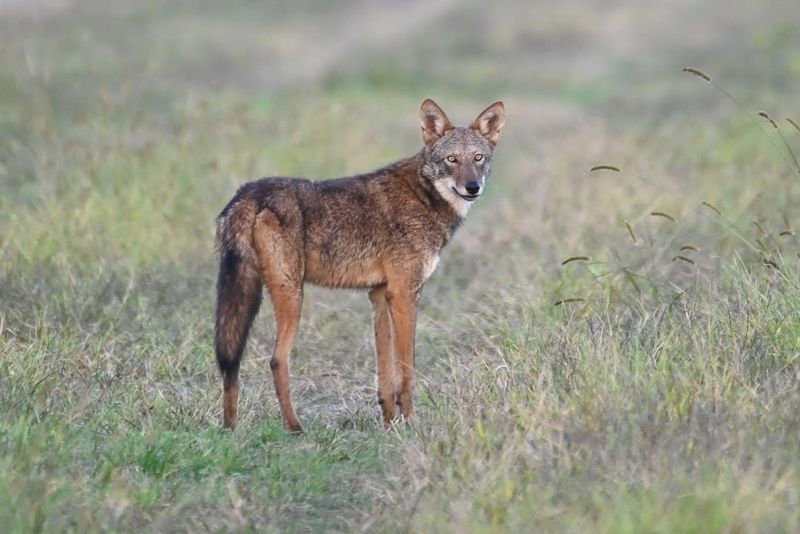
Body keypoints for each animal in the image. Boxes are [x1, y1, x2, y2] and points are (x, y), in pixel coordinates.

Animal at [214, 98, 506, 434]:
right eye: (451, 160)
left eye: (478, 158)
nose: (472, 187)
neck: (424, 196)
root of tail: (248, 192)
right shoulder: (405, 294)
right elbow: (406, 367)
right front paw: (412, 422)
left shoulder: (378, 295)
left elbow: (385, 374)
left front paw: (390, 424)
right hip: (290, 295)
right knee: (276, 360)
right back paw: (294, 427)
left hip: (243, 296)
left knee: (231, 366)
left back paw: (230, 430)